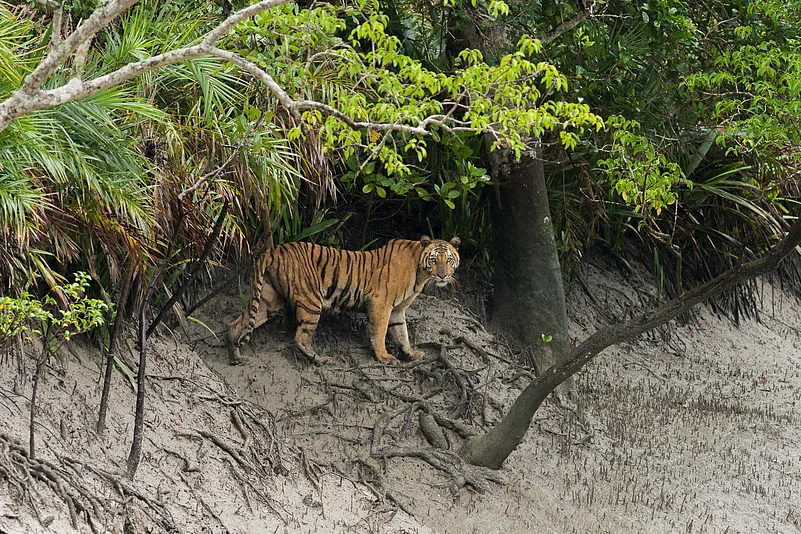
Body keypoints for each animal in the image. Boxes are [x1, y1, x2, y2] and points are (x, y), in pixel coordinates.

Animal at [228, 236, 460, 365]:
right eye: (434, 260)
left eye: (449, 260)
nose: (442, 275)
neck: (420, 273)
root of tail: (274, 249)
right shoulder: (381, 304)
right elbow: (380, 332)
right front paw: (384, 357)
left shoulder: (397, 310)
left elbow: (401, 332)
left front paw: (411, 353)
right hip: (311, 300)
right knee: (300, 337)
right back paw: (320, 359)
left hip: (269, 298)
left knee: (238, 323)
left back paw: (235, 355)